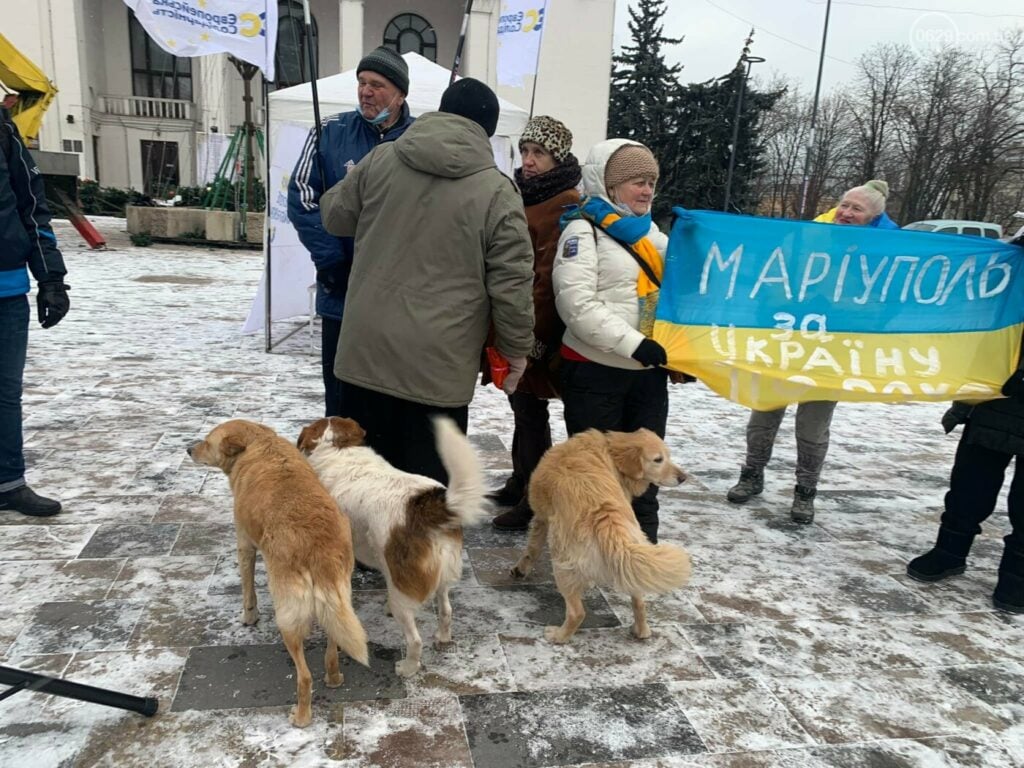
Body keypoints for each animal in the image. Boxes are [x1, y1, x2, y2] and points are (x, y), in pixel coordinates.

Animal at [190, 421, 370, 729]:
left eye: (207, 441)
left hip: (288, 613)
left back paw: (301, 717)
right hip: (339, 598)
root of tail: (317, 547)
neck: (259, 443)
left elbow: (248, 590)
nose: (188, 448)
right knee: (332, 646)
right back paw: (334, 678)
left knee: (304, 676)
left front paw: (249, 618)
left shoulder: (245, 544)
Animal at [296, 417, 487, 675]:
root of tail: (425, 507)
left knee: (415, 640)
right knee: (446, 611)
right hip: (442, 575)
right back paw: (443, 637)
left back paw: (407, 668)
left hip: (401, 590)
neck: (338, 449)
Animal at [516, 430, 692, 647]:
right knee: (639, 602)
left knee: (577, 613)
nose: (683, 478)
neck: (610, 449)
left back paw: (558, 636)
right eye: (659, 459)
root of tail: (604, 517)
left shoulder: (541, 518)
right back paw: (641, 631)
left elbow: (532, 550)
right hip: (634, 553)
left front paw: (520, 570)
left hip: (561, 560)